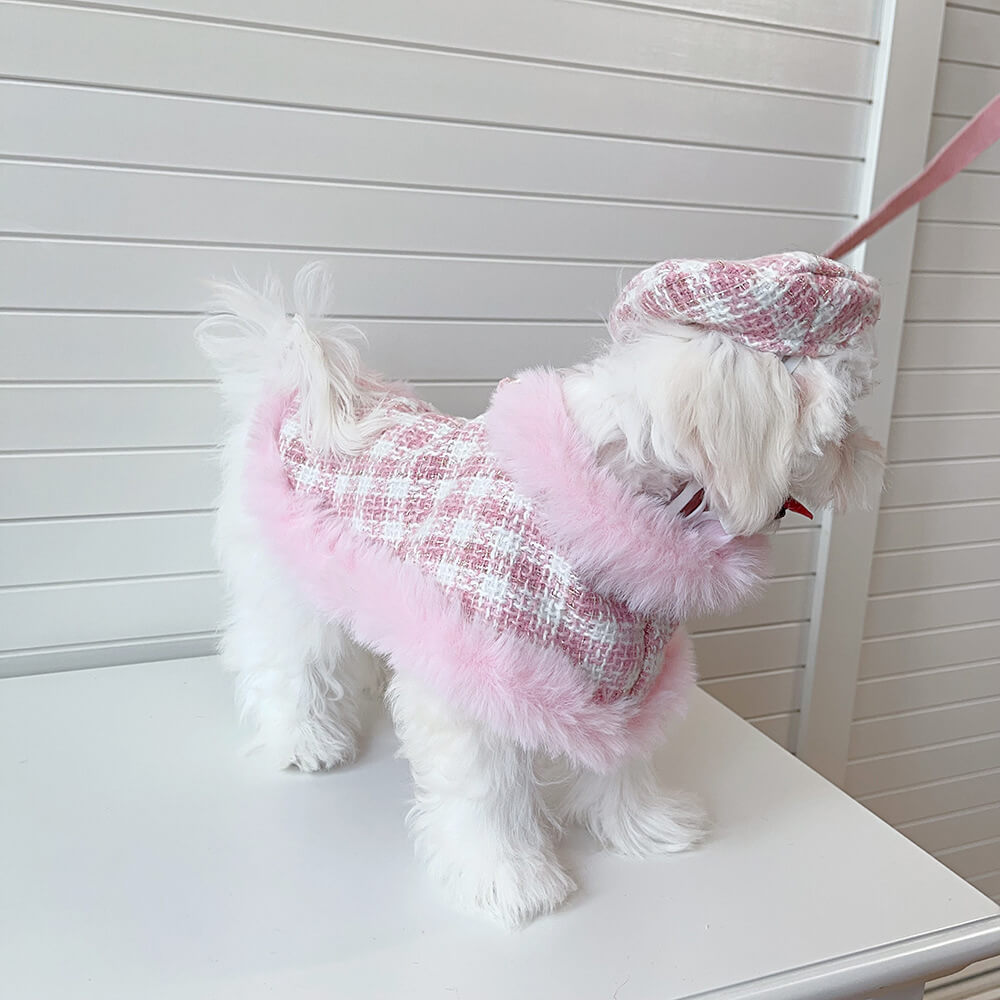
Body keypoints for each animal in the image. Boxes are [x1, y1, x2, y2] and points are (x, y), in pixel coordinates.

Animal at [201, 254, 884, 924]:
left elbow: (624, 761)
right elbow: (488, 791)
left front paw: (643, 826)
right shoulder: (476, 677)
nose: (869, 453)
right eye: (848, 395)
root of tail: (294, 380)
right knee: (281, 661)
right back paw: (305, 741)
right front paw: (508, 877)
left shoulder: (624, 672)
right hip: (283, 580)